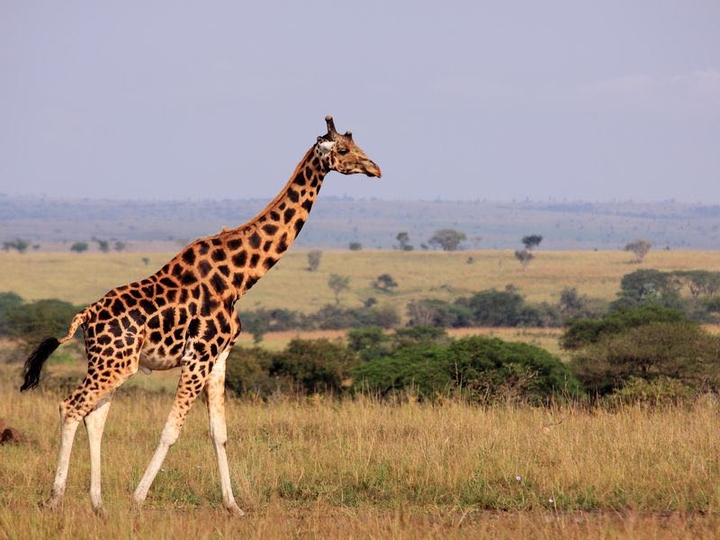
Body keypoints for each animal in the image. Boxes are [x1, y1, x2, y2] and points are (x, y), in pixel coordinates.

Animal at [19, 116, 381, 516]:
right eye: (344, 149)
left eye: (357, 146)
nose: (375, 169)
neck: (240, 278)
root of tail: (85, 317)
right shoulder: (199, 355)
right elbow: (171, 430)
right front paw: (138, 498)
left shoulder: (219, 357)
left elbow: (218, 433)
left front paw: (233, 506)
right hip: (113, 363)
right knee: (71, 407)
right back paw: (54, 498)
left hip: (111, 363)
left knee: (94, 417)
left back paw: (98, 504)